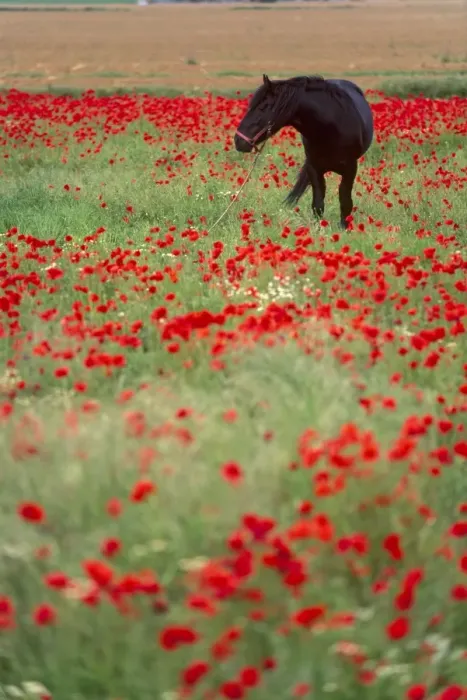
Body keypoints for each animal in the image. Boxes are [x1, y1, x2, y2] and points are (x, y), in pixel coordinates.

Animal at [234, 74, 374, 229]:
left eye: (263, 107)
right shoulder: (313, 168)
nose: (238, 141)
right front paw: (319, 228)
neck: (332, 127)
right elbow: (318, 204)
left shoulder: (350, 169)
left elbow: (345, 201)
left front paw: (344, 228)